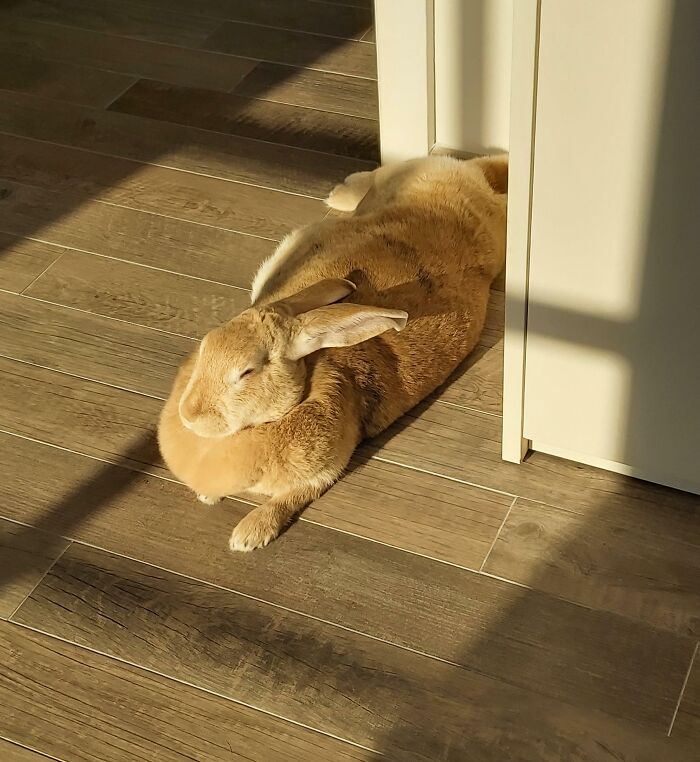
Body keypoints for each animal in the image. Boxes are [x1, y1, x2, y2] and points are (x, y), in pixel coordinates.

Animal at [158, 153, 508, 552]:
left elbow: (289, 499)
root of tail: (471, 180)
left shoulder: (325, 472)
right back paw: (341, 192)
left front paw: (248, 536)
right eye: (205, 347)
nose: (189, 415)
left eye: (247, 372)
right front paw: (209, 498)